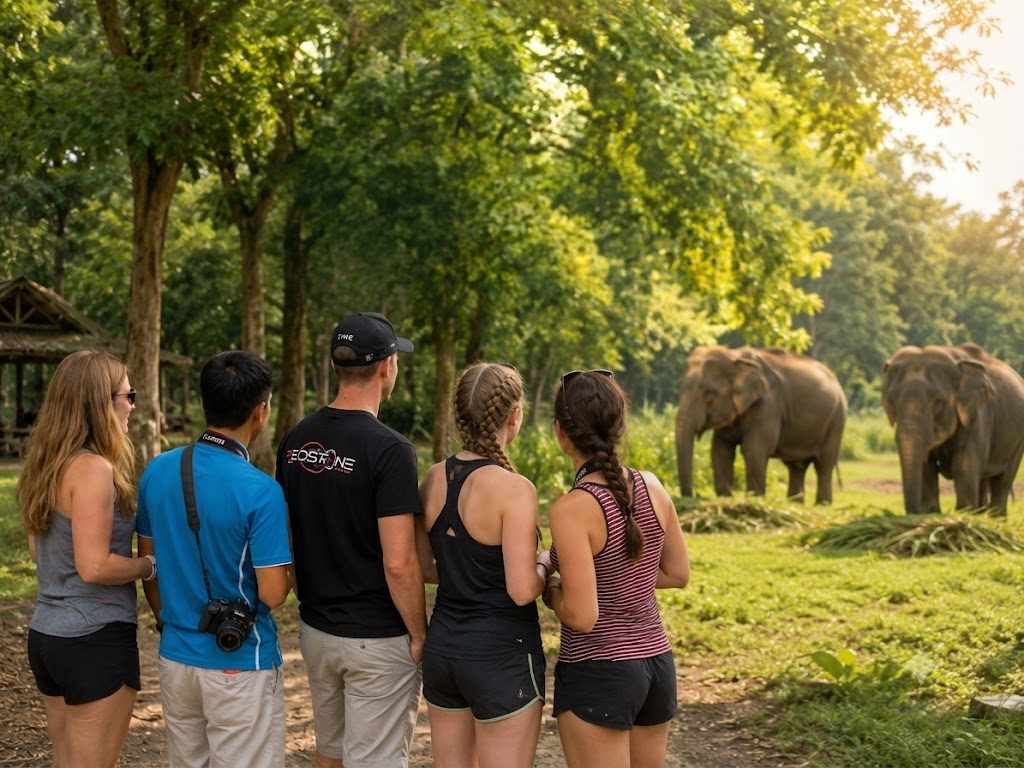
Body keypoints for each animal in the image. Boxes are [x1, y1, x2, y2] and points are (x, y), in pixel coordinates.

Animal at [675, 346, 847, 504]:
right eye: (680, 388)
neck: (734, 356)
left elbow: (754, 448)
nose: (694, 495)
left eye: (709, 395)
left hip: (837, 419)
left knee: (824, 464)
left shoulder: (768, 404)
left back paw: (822, 504)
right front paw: (725, 497)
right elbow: (720, 448)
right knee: (796, 466)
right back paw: (794, 503)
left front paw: (754, 498)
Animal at [880, 343, 1024, 516]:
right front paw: (932, 514)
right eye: (890, 400)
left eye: (938, 401)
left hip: (1018, 440)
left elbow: (963, 468)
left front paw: (962, 515)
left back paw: (995, 519)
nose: (914, 512)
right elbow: (927, 470)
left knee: (1003, 481)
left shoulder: (978, 415)